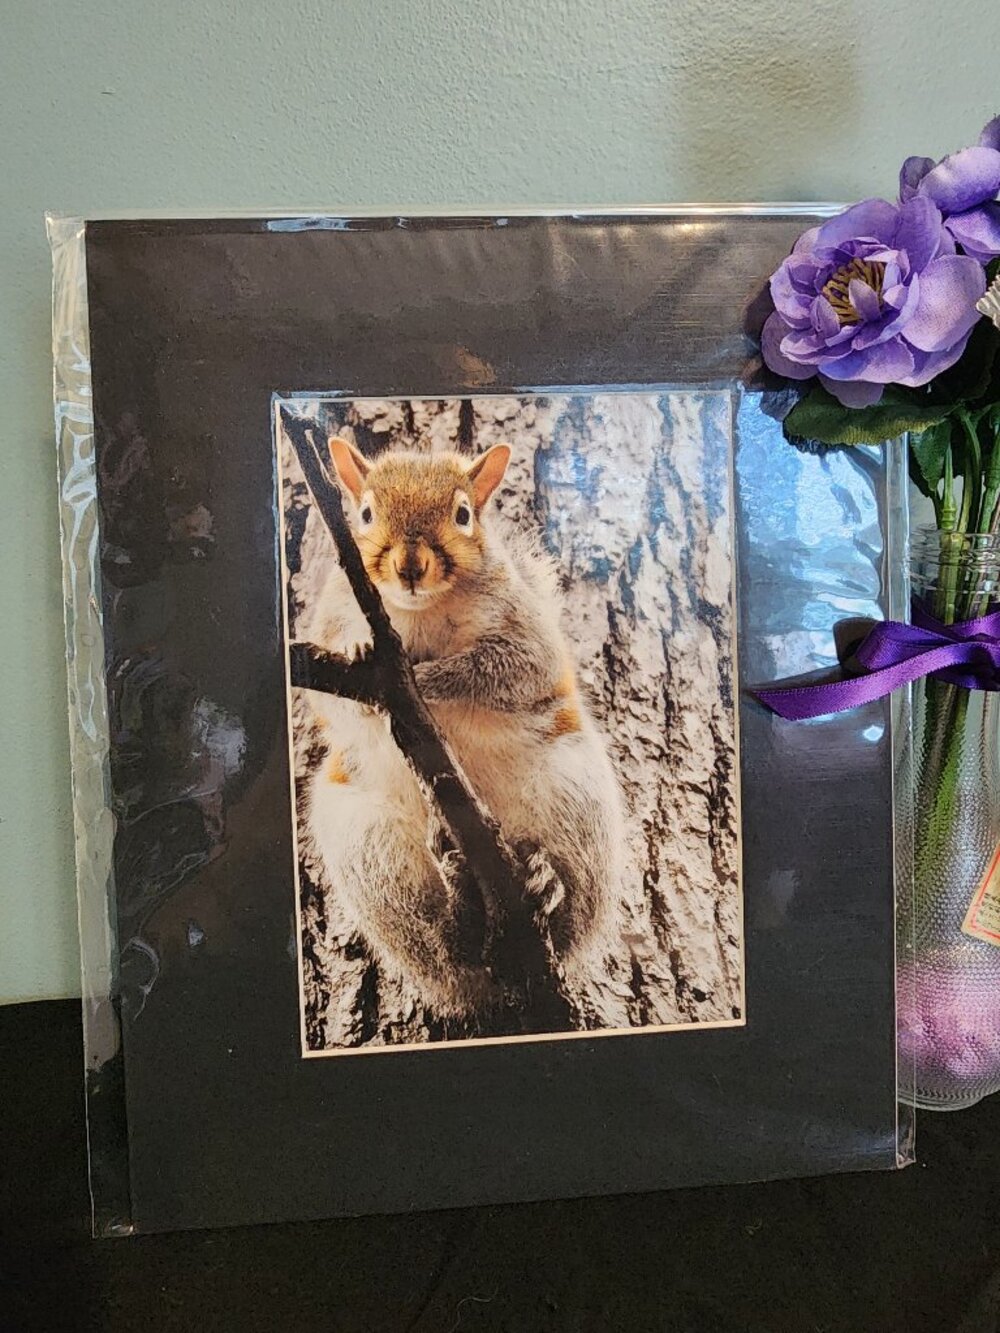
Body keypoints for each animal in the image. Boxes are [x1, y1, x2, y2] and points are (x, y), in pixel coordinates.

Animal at [302, 435, 625, 1020]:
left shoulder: (524, 631)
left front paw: (425, 678)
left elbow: (515, 666)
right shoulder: (329, 622)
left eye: (463, 514)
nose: (410, 566)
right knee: (444, 950)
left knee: (569, 924)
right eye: (365, 514)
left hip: (577, 796)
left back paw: (547, 889)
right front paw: (361, 651)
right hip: (368, 849)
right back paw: (461, 912)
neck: (418, 612)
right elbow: (329, 697)